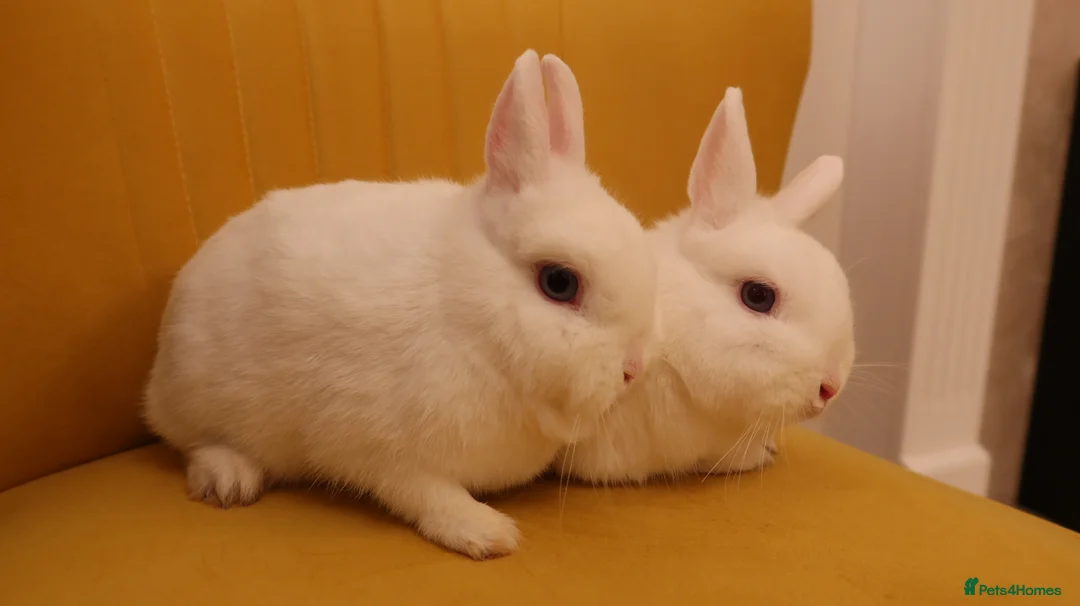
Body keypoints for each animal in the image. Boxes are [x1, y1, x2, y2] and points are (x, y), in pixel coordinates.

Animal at [142, 49, 658, 559]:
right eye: (559, 282)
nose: (633, 369)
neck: (467, 312)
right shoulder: (375, 444)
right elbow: (422, 491)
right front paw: (486, 533)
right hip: (199, 394)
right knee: (188, 440)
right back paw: (228, 480)